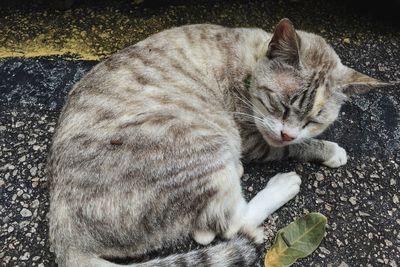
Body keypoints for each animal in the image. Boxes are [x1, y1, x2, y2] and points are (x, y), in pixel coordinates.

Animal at [47, 19, 388, 267]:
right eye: (280, 104)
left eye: (312, 121)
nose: (288, 132)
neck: (249, 58)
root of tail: (64, 234)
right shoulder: (254, 138)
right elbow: (290, 148)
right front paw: (329, 150)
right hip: (206, 142)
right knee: (233, 225)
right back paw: (281, 185)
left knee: (204, 231)